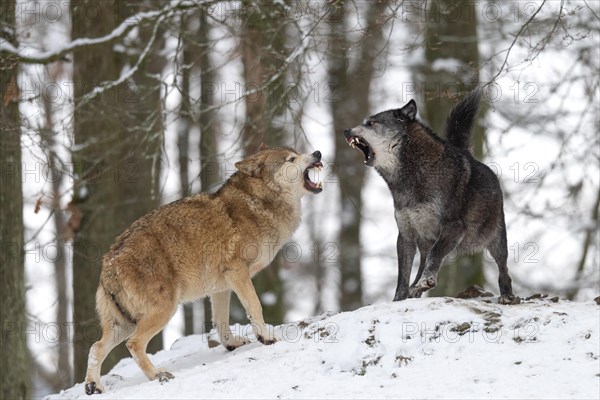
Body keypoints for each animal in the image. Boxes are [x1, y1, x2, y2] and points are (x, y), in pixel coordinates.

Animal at [344, 89, 516, 304]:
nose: (346, 131)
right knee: (421, 265)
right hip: (425, 242)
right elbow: (403, 276)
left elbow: (435, 256)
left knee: (504, 268)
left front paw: (426, 281)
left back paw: (507, 295)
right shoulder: (406, 236)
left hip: (496, 240)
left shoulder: (453, 228)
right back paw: (414, 291)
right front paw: (400, 298)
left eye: (371, 123)